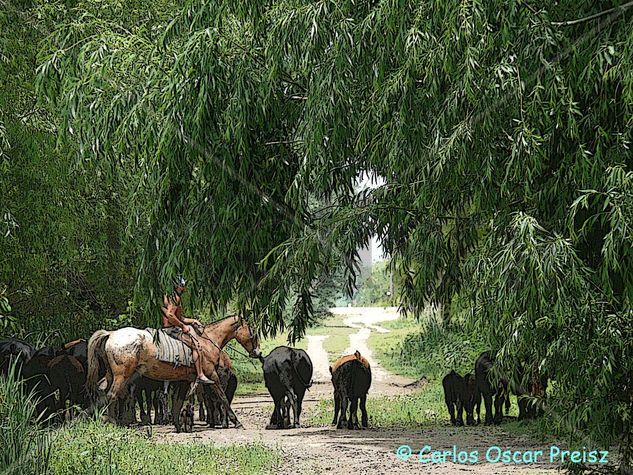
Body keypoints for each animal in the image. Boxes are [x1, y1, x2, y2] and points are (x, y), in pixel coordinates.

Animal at [86, 316, 260, 432]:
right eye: (253, 332)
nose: (258, 352)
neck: (206, 341)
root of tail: (111, 334)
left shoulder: (184, 380)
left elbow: (177, 401)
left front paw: (178, 425)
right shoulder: (212, 375)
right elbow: (222, 397)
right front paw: (236, 421)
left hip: (111, 375)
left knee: (104, 391)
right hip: (121, 376)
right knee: (112, 395)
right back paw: (113, 422)